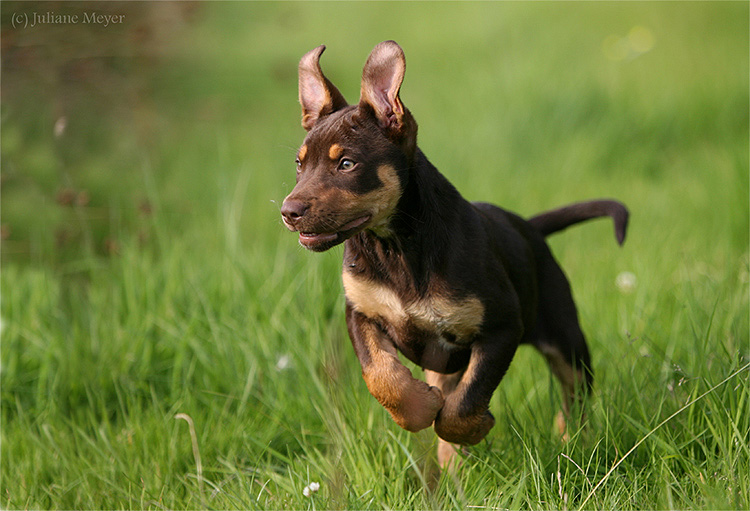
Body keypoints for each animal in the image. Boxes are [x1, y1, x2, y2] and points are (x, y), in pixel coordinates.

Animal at [282, 42, 628, 470]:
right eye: (300, 164)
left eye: (346, 164)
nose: (289, 211)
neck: (397, 248)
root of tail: (528, 228)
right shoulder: (360, 313)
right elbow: (381, 375)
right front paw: (418, 408)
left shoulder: (501, 327)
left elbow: (465, 402)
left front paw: (474, 426)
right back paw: (451, 471)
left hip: (565, 336)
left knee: (575, 395)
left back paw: (572, 442)